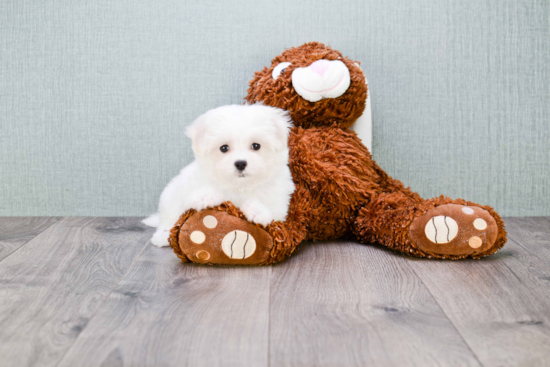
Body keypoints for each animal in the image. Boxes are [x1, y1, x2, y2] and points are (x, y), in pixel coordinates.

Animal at [144, 103, 296, 247]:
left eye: (256, 146)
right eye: (224, 148)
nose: (240, 163)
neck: (240, 186)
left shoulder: (279, 200)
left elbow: (271, 211)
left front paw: (258, 211)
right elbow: (197, 198)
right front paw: (205, 197)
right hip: (169, 197)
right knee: (168, 220)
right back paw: (162, 237)